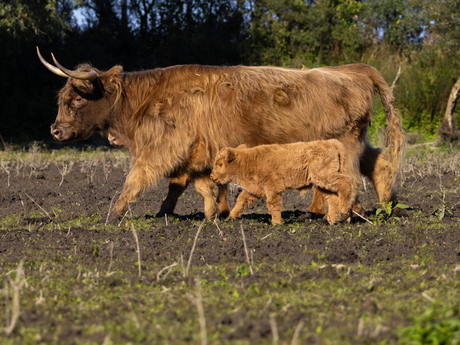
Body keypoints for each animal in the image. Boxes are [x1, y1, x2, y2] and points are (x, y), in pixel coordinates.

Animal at [36, 47, 402, 220]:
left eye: (76, 100)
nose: (55, 130)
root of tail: (353, 69)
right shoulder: (197, 151)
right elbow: (194, 184)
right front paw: (208, 214)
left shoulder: (164, 148)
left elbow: (138, 178)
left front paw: (114, 215)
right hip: (352, 142)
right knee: (379, 163)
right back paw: (386, 206)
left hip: (344, 144)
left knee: (352, 179)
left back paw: (346, 212)